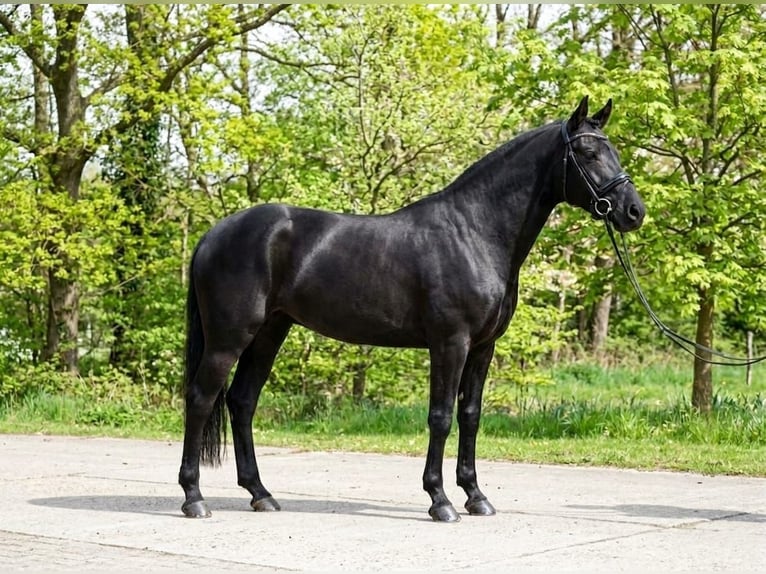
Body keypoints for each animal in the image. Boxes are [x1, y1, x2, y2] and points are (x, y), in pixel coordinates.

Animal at [178, 96, 646, 522]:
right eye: (588, 153)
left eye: (613, 151)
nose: (633, 212)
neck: (474, 232)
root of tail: (214, 234)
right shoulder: (450, 343)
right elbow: (440, 417)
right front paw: (440, 501)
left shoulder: (483, 348)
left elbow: (470, 416)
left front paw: (476, 497)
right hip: (229, 338)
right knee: (201, 399)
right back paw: (194, 498)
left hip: (270, 332)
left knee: (242, 401)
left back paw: (261, 494)